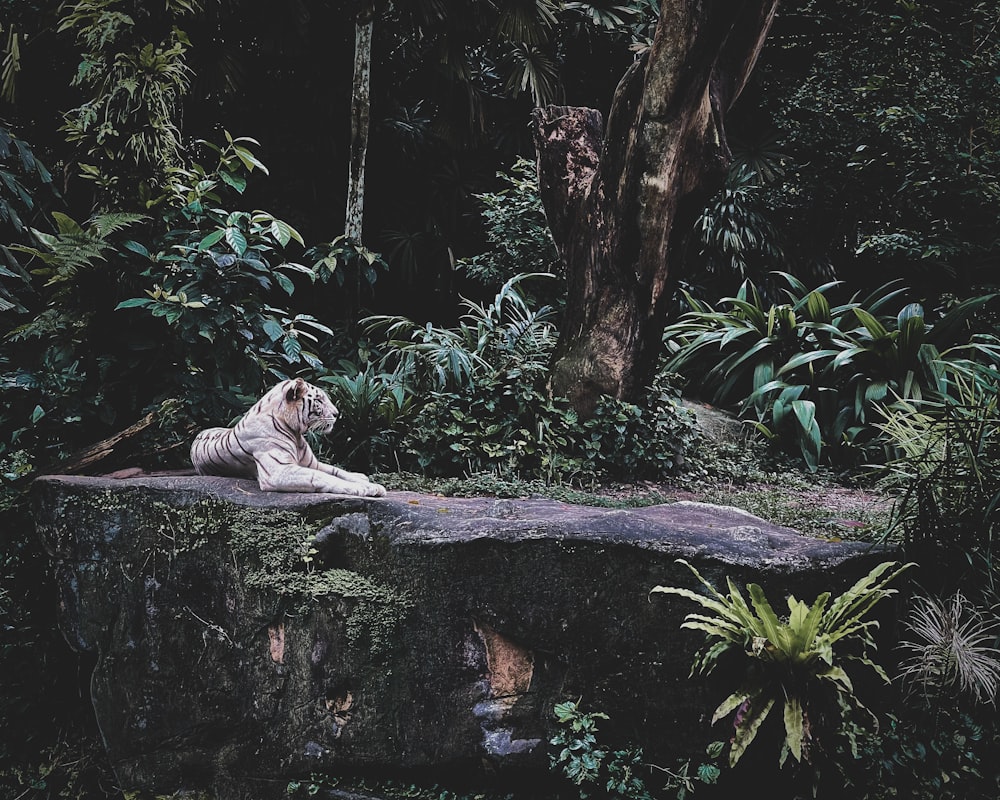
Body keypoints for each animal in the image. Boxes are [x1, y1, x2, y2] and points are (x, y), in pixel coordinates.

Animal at [190, 378, 386, 496]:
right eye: (319, 400)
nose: (337, 414)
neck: (295, 433)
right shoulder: (278, 471)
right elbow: (322, 477)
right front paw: (366, 488)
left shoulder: (311, 463)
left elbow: (336, 471)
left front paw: (363, 478)